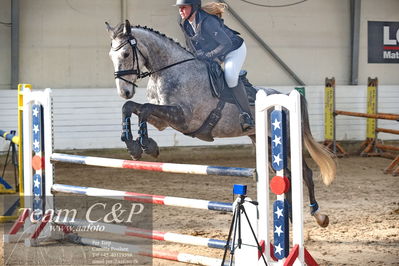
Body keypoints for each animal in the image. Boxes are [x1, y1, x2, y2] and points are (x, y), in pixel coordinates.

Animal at [107, 21, 338, 229]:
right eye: (111, 56)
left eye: (125, 54)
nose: (124, 91)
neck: (168, 71)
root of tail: (289, 96)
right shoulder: (163, 120)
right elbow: (133, 107)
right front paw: (136, 146)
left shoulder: (184, 118)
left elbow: (144, 108)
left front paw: (145, 145)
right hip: (266, 141)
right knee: (286, 175)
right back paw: (288, 219)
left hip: (288, 140)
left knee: (305, 173)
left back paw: (318, 215)